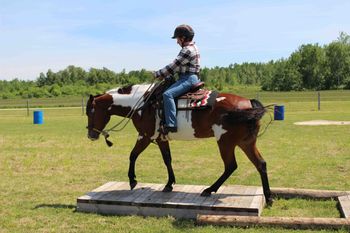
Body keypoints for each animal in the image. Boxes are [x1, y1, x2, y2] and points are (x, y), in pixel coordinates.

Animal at [85, 81, 274, 205]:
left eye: (91, 111)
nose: (91, 135)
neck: (142, 104)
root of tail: (249, 103)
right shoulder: (160, 138)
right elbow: (167, 159)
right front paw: (169, 184)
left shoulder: (145, 136)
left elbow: (132, 155)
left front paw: (132, 180)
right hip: (246, 142)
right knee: (261, 164)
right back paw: (269, 197)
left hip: (225, 142)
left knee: (231, 166)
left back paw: (209, 190)